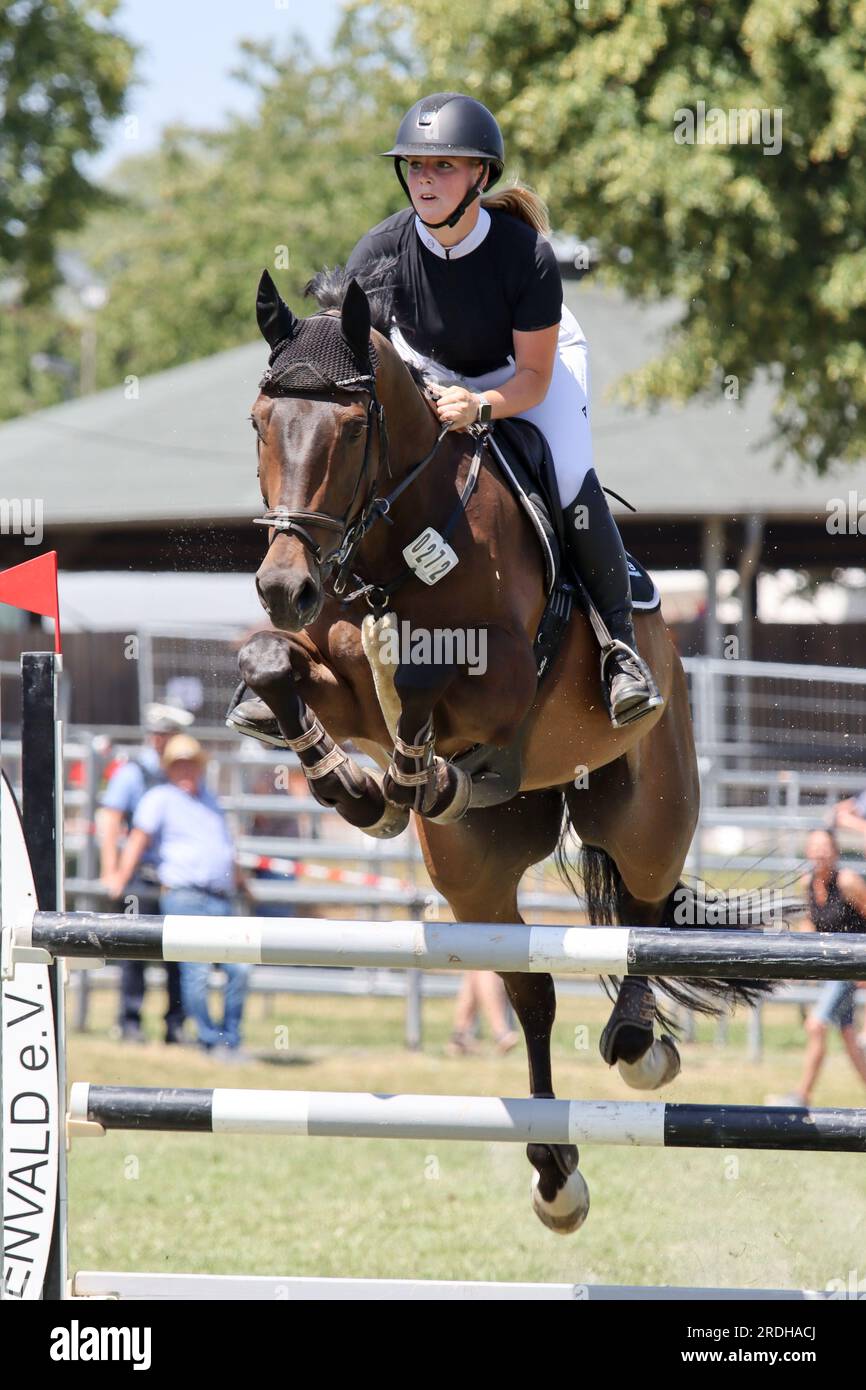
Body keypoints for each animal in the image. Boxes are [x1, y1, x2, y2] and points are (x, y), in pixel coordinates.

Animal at [239, 265, 767, 1234]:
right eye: (261, 420)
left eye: (350, 427)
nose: (285, 586)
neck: (390, 545)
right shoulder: (327, 667)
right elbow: (273, 666)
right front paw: (356, 789)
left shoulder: (501, 682)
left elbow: (415, 682)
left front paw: (402, 776)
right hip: (475, 874)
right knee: (531, 988)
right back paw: (556, 1176)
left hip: (646, 807)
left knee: (642, 907)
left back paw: (639, 1043)